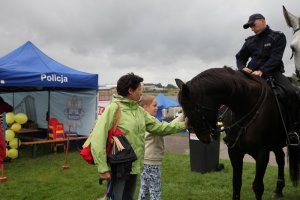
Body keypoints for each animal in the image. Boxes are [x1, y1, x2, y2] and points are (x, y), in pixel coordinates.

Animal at [176, 67, 300, 198]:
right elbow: (236, 183)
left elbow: (258, 186)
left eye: (193, 109)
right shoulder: (234, 152)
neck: (245, 108)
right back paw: (278, 190)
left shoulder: (262, 153)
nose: (203, 138)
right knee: (280, 158)